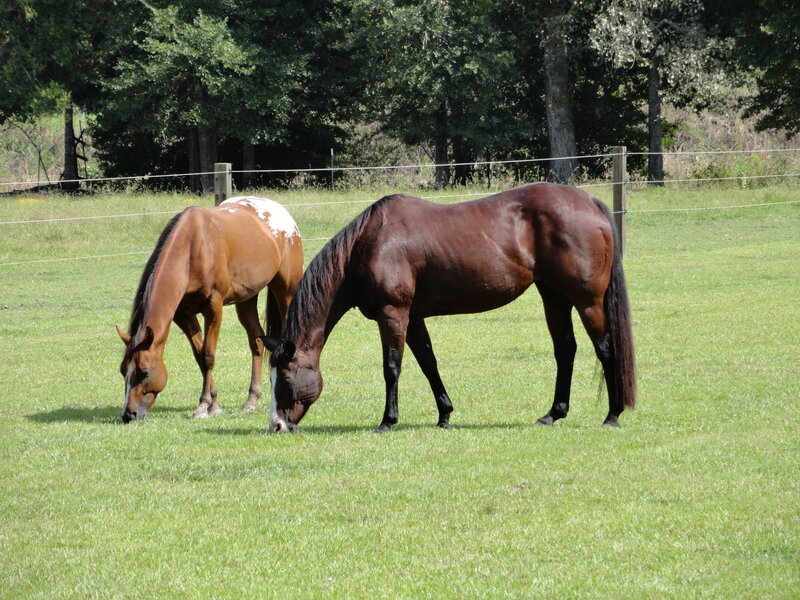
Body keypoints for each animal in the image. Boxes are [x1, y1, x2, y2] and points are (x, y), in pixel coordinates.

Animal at [117, 196, 304, 422]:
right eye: (123, 370)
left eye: (144, 372)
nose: (129, 414)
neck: (193, 248)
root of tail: (283, 213)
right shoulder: (183, 313)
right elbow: (199, 356)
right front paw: (213, 404)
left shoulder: (213, 307)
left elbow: (208, 355)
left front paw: (203, 406)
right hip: (246, 299)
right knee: (257, 341)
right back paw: (251, 400)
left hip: (285, 290)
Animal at [261, 182, 636, 433]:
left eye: (285, 377)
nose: (277, 425)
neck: (368, 245)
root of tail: (588, 202)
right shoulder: (413, 319)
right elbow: (429, 364)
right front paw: (445, 416)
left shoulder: (393, 314)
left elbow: (392, 368)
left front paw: (387, 421)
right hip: (554, 297)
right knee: (565, 350)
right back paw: (553, 413)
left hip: (587, 302)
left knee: (605, 349)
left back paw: (612, 415)